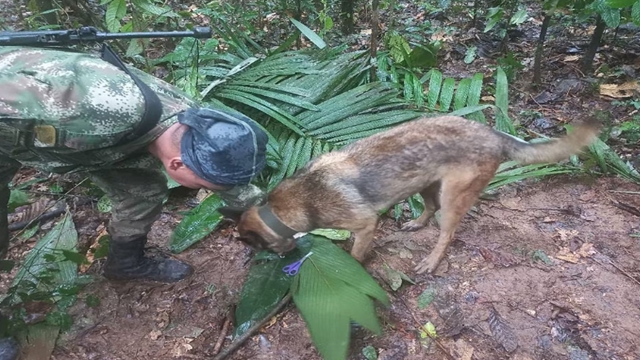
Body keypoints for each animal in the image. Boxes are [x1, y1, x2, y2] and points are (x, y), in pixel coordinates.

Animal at [220, 115, 600, 272]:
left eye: (258, 248)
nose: (277, 260)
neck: (281, 209)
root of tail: (493, 134)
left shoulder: (365, 224)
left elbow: (356, 253)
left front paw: (353, 265)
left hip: (452, 198)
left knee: (447, 232)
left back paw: (431, 261)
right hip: (427, 184)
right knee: (428, 209)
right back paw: (416, 224)